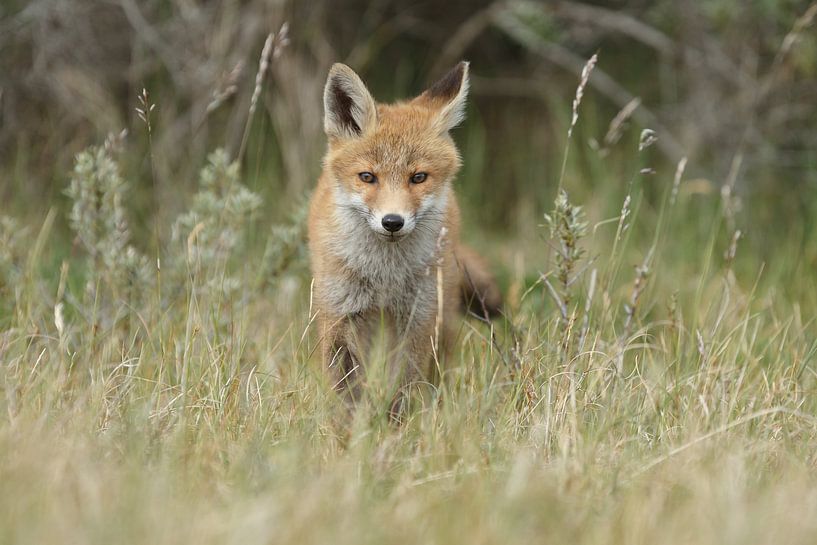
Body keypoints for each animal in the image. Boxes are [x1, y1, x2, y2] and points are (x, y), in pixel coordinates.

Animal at [306, 60, 498, 412]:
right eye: (367, 177)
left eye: (418, 177)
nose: (392, 222)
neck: (385, 276)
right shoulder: (340, 314)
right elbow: (347, 389)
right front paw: (354, 425)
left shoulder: (418, 318)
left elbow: (405, 387)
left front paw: (395, 423)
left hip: (440, 313)